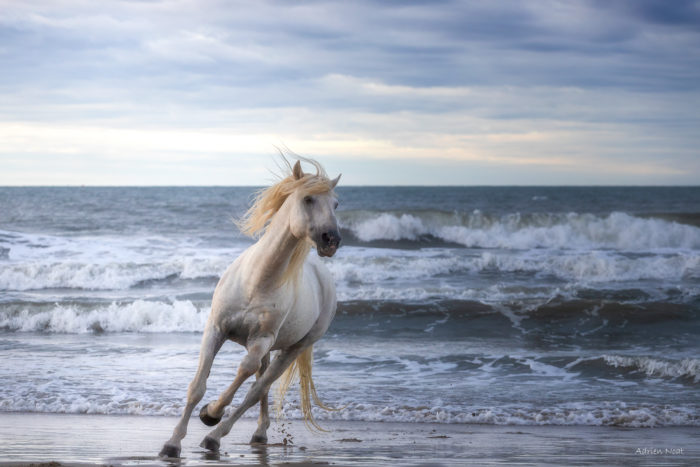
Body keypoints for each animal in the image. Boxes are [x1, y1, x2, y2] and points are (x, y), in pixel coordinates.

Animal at [159, 157, 342, 458]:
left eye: (336, 204)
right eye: (308, 199)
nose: (332, 240)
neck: (257, 280)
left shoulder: (260, 340)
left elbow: (244, 372)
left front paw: (211, 413)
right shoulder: (216, 328)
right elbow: (197, 387)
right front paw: (172, 444)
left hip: (294, 347)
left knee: (257, 388)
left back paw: (215, 436)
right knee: (260, 387)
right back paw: (258, 434)